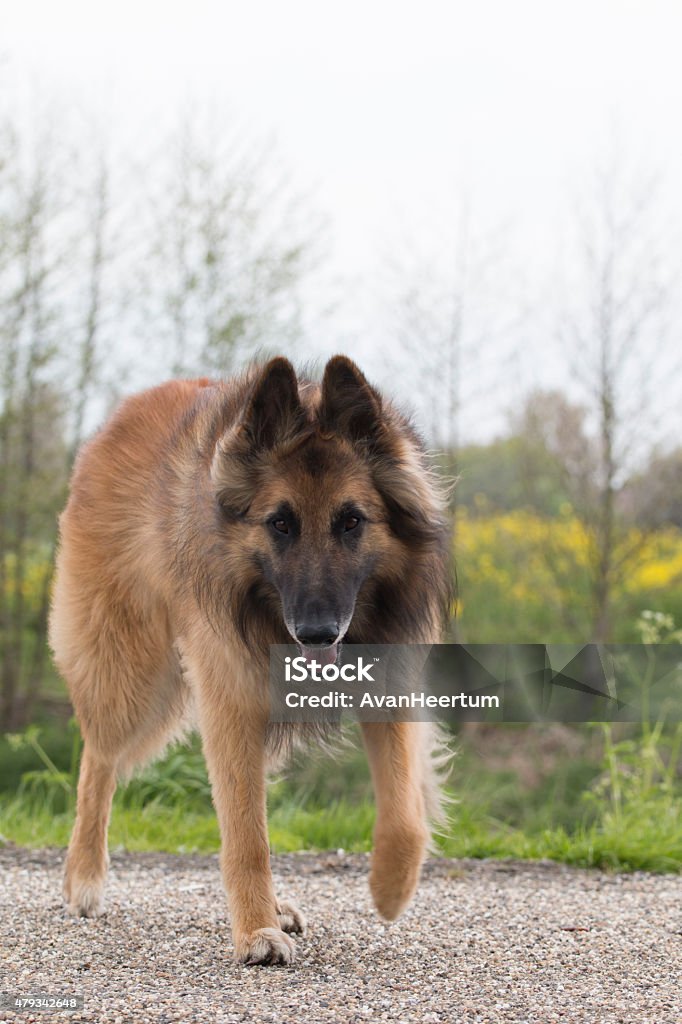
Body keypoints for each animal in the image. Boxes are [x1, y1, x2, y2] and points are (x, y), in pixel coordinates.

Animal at [47, 356, 450, 962]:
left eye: (352, 521)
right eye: (280, 523)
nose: (316, 632)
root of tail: (120, 416)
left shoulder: (392, 681)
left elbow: (405, 812)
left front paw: (390, 888)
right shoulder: (231, 698)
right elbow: (246, 833)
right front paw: (255, 930)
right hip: (132, 674)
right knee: (98, 762)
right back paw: (85, 877)